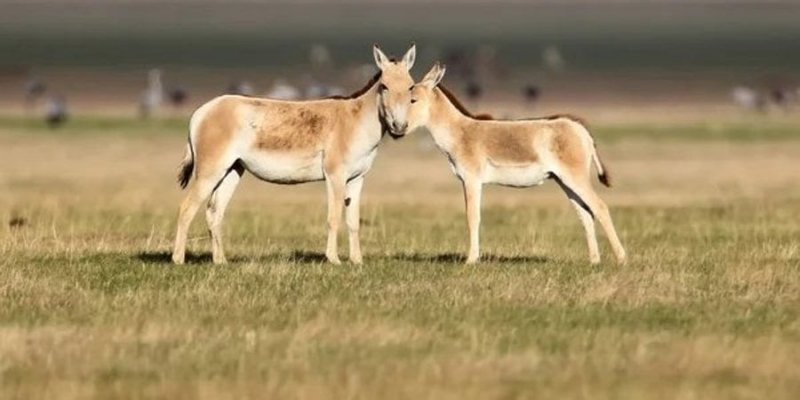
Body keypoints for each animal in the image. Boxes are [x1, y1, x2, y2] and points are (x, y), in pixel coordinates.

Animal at [172, 44, 416, 266]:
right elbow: (333, 217)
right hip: (210, 171)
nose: (399, 127)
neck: (355, 122)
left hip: (232, 170)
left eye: (411, 88)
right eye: (384, 86)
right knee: (186, 209)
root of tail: (201, 111)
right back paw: (178, 260)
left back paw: (220, 261)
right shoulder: (335, 176)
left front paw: (357, 261)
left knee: (214, 212)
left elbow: (353, 221)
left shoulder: (357, 178)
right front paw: (334, 260)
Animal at [406, 65, 624, 266]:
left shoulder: (471, 180)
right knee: (586, 214)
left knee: (600, 207)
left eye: (413, 100)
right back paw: (594, 261)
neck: (460, 133)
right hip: (564, 181)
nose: (400, 128)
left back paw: (621, 259)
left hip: (574, 177)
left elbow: (472, 217)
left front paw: (471, 260)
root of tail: (581, 129)